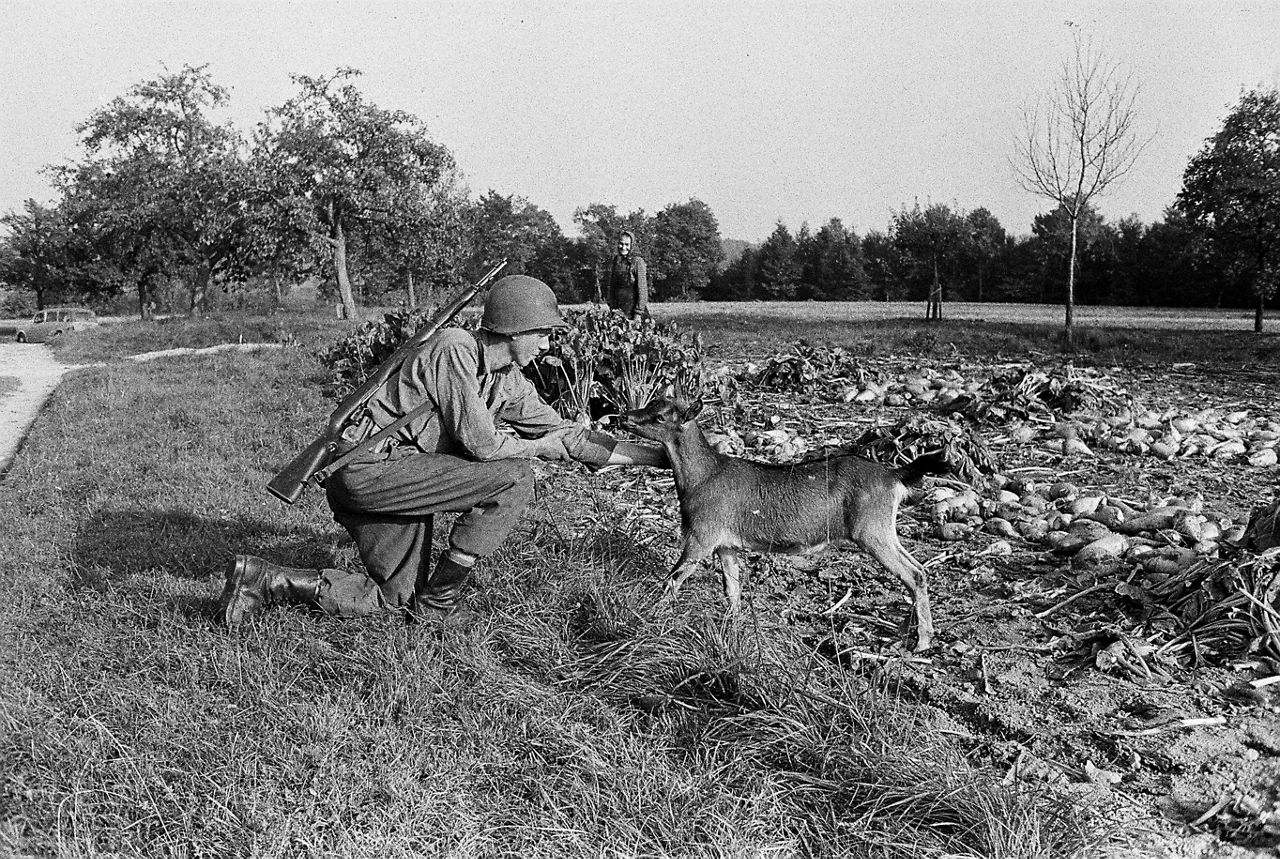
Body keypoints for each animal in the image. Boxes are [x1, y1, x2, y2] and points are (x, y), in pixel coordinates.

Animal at [621, 397, 949, 652]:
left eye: (661, 416)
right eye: (652, 403)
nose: (626, 416)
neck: (703, 477)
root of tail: (893, 475)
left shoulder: (701, 536)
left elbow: (672, 580)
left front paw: (648, 619)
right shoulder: (726, 545)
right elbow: (732, 590)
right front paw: (734, 631)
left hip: (871, 531)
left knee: (912, 573)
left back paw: (921, 644)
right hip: (883, 530)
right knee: (919, 569)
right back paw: (910, 635)